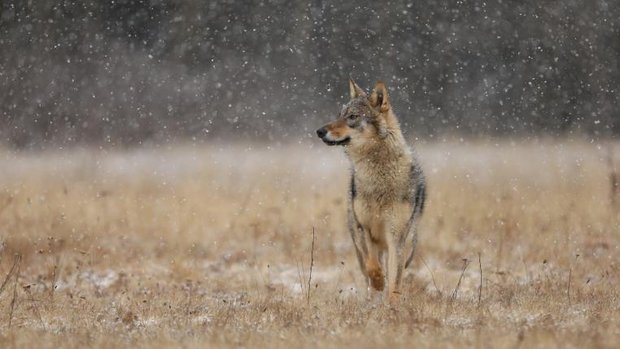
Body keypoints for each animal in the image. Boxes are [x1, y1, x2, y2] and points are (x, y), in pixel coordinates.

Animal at [314, 79, 426, 304]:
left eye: (352, 117)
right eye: (339, 114)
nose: (319, 131)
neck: (378, 178)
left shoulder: (396, 237)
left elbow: (395, 281)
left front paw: (392, 305)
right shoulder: (364, 227)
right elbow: (372, 266)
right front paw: (378, 282)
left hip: (408, 244)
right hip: (358, 241)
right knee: (367, 269)